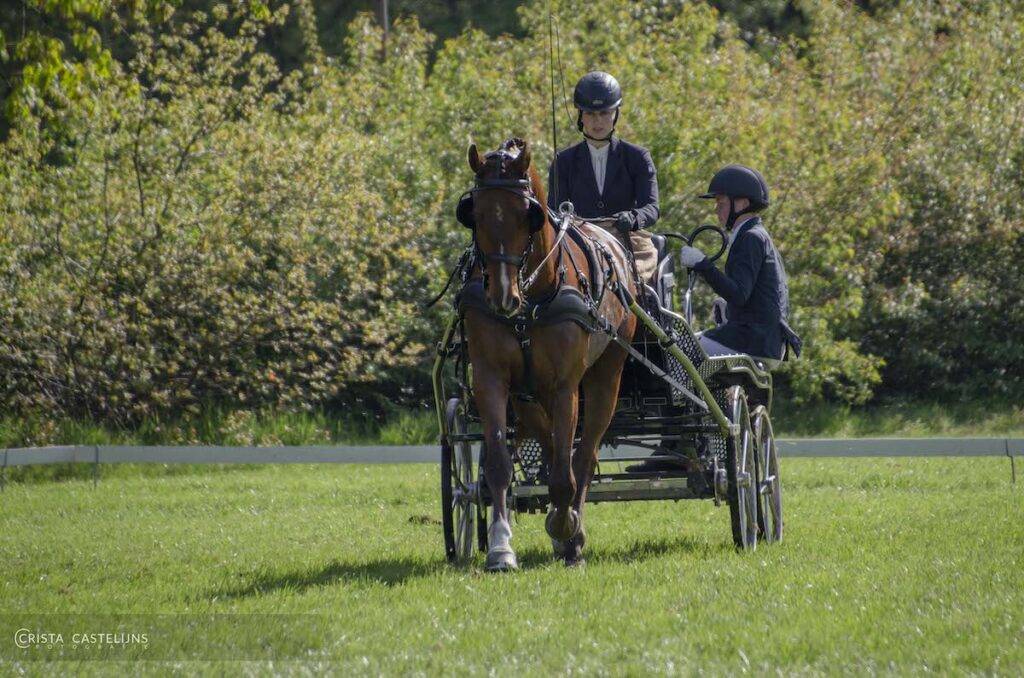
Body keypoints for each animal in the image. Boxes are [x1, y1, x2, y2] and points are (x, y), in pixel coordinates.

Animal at [455, 138, 638, 569]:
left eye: (528, 216)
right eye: (476, 215)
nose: (502, 297)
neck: (532, 298)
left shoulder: (565, 386)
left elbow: (567, 470)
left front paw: (568, 532)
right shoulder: (491, 378)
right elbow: (499, 464)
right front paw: (501, 547)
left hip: (605, 376)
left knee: (583, 455)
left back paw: (572, 529)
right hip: (527, 396)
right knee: (555, 448)